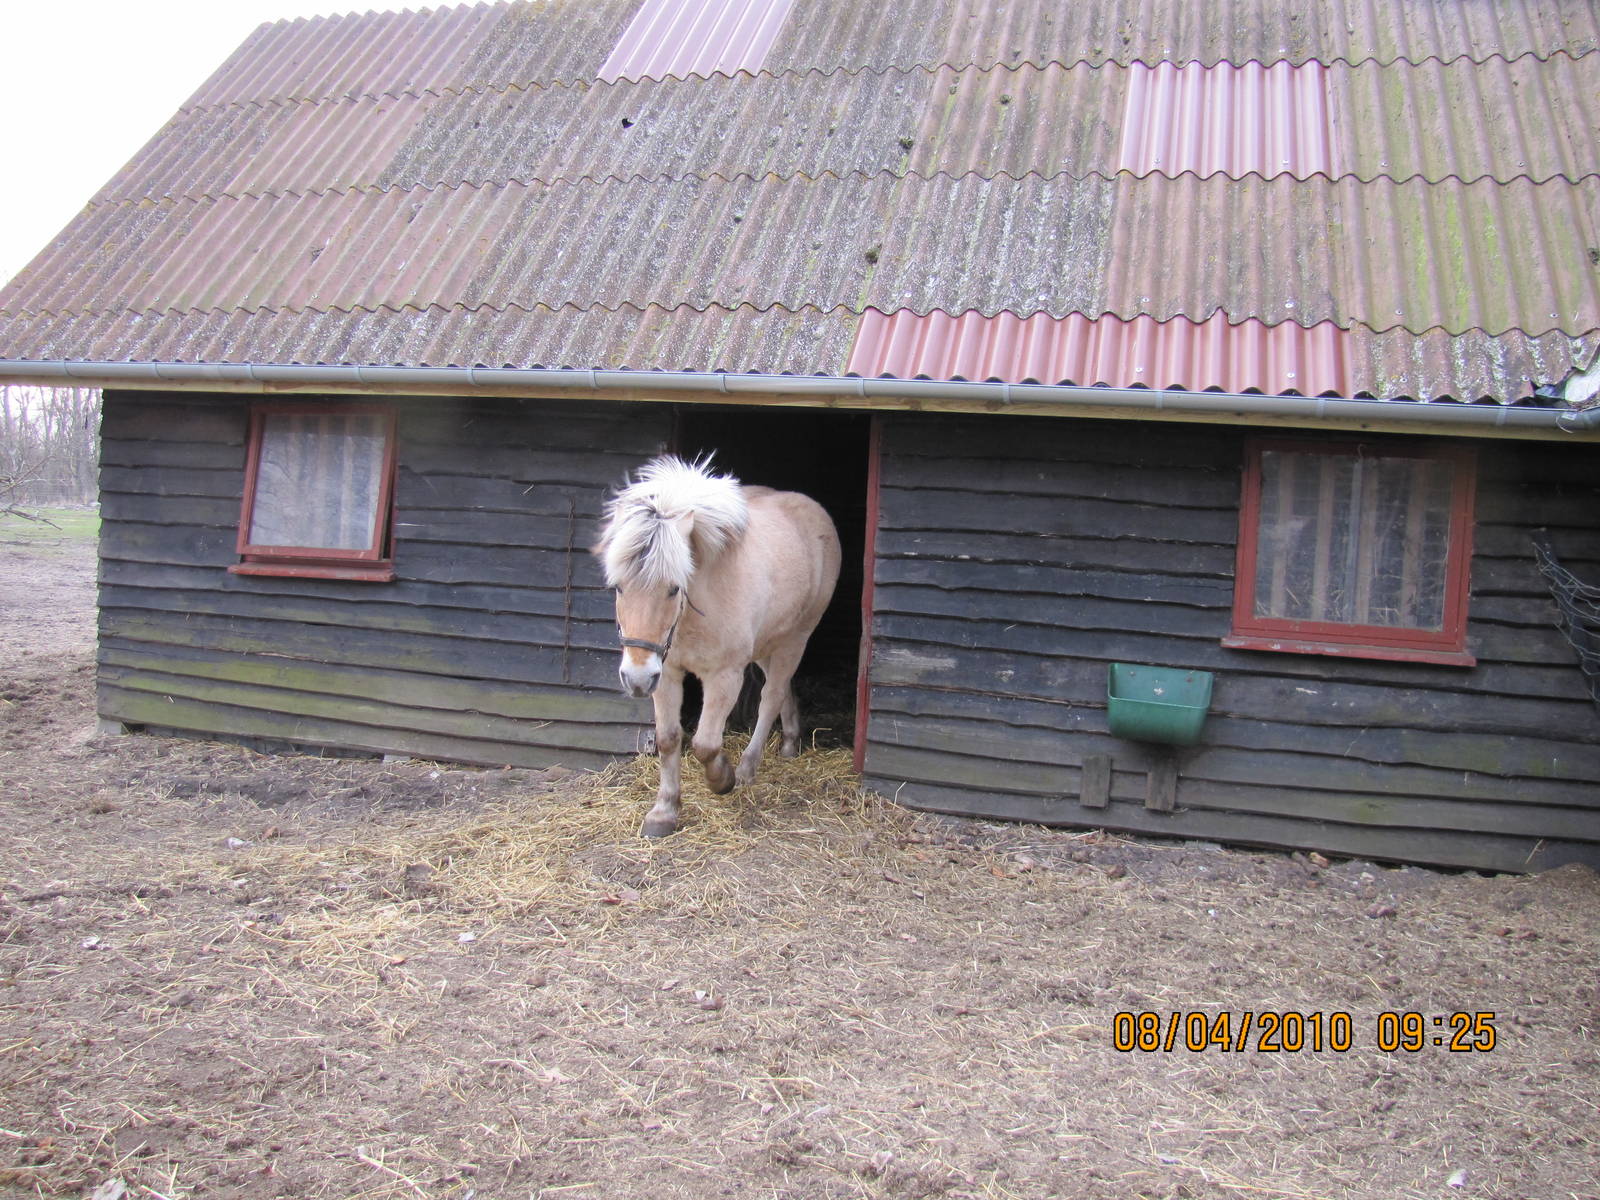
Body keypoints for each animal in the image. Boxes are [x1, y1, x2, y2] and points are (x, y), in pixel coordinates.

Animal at [593, 455, 842, 837]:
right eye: (619, 587)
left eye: (674, 588)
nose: (636, 679)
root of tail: (814, 511)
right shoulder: (666, 673)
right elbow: (668, 739)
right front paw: (664, 812)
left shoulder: (725, 675)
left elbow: (706, 744)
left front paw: (722, 779)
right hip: (767, 643)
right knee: (782, 688)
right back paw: (789, 742)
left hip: (796, 638)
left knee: (770, 697)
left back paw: (747, 768)